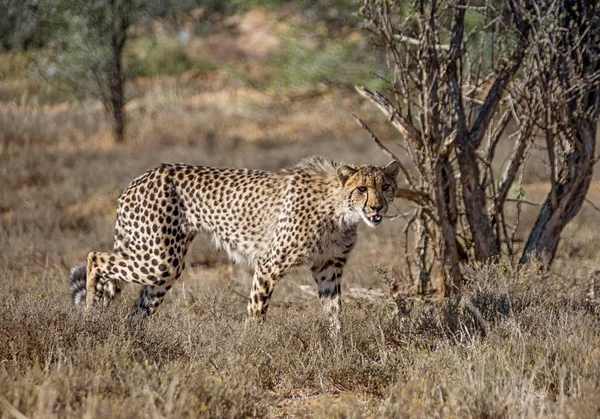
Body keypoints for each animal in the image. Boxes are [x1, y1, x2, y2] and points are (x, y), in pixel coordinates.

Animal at [69, 156, 398, 330]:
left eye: (386, 186)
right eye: (362, 188)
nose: (377, 208)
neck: (339, 207)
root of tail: (141, 177)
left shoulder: (328, 267)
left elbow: (334, 313)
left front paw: (338, 350)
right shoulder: (269, 264)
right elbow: (256, 311)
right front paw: (250, 348)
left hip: (163, 268)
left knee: (138, 309)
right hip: (159, 260)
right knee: (94, 257)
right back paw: (89, 313)